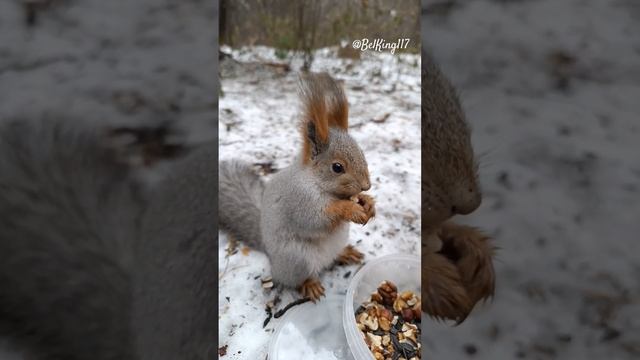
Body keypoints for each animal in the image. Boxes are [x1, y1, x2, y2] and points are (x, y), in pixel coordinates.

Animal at [219, 72, 376, 300]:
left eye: (362, 153)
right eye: (337, 167)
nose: (366, 185)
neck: (319, 184)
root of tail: (270, 254)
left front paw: (368, 203)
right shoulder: (298, 200)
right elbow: (315, 219)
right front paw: (349, 209)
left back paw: (346, 252)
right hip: (297, 259)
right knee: (296, 279)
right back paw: (310, 285)